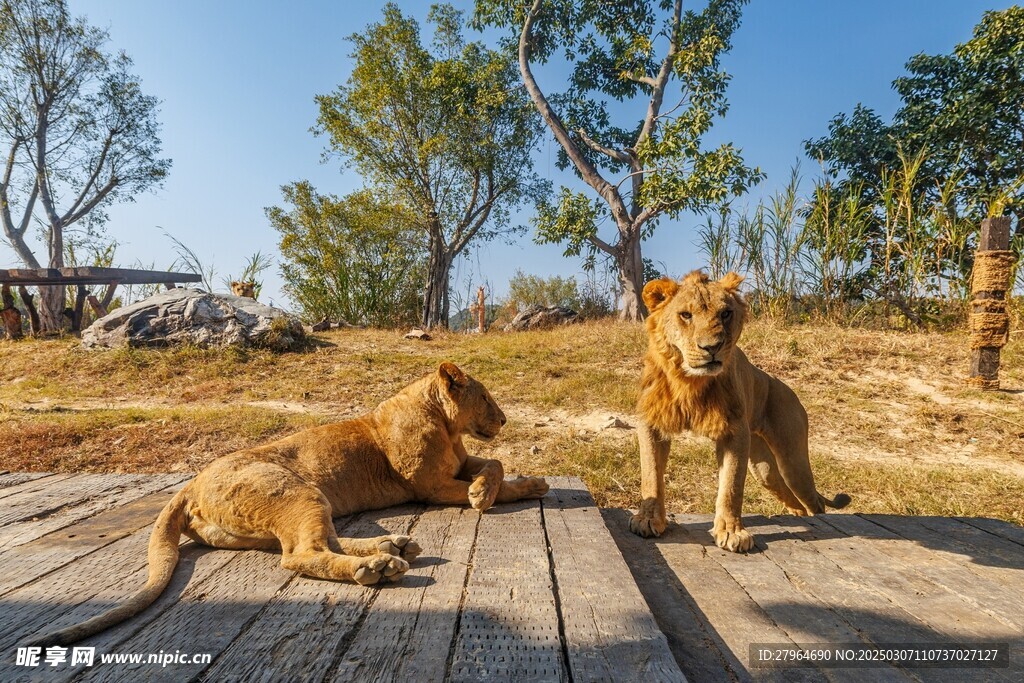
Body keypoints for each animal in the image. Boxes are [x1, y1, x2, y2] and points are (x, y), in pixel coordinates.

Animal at [626, 270, 851, 552]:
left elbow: (731, 486)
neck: (690, 381)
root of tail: (785, 387)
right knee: (793, 499)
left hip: (793, 461)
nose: (712, 347)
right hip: (765, 471)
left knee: (814, 500)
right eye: (685, 315)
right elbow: (651, 476)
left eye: (725, 313)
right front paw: (647, 520)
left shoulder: (734, 431)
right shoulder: (653, 422)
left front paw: (732, 532)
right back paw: (796, 517)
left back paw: (819, 523)